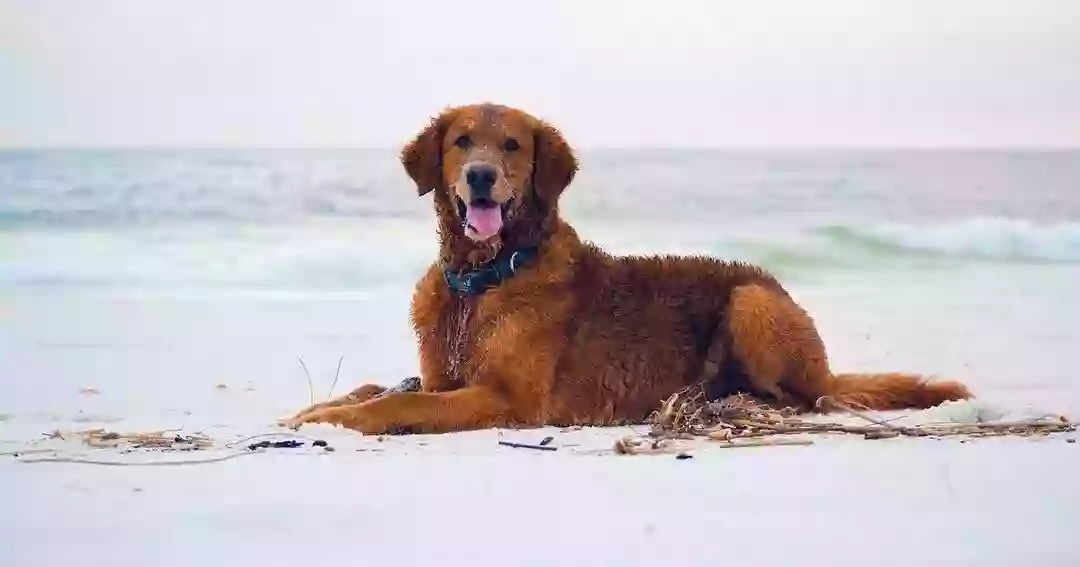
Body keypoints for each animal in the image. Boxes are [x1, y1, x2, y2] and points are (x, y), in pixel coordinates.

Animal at [282, 102, 976, 434]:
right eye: (461, 142)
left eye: (512, 145)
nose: (480, 176)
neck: (483, 279)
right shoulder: (441, 375)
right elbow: (374, 388)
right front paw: (308, 413)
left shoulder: (507, 398)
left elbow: (392, 404)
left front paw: (337, 421)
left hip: (752, 302)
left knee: (805, 397)